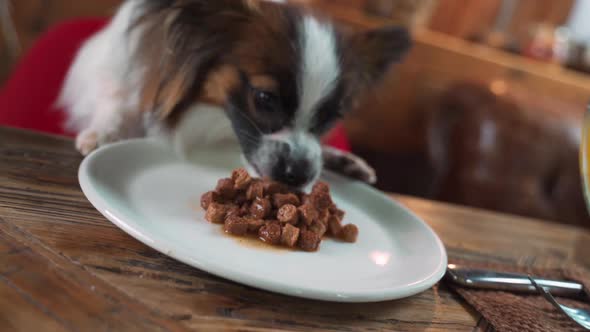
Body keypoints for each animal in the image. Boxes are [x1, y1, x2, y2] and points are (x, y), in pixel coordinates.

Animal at [60, 0, 412, 188]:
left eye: (330, 118)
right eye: (265, 99)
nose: (297, 175)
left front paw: (341, 158)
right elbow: (117, 100)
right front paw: (105, 132)